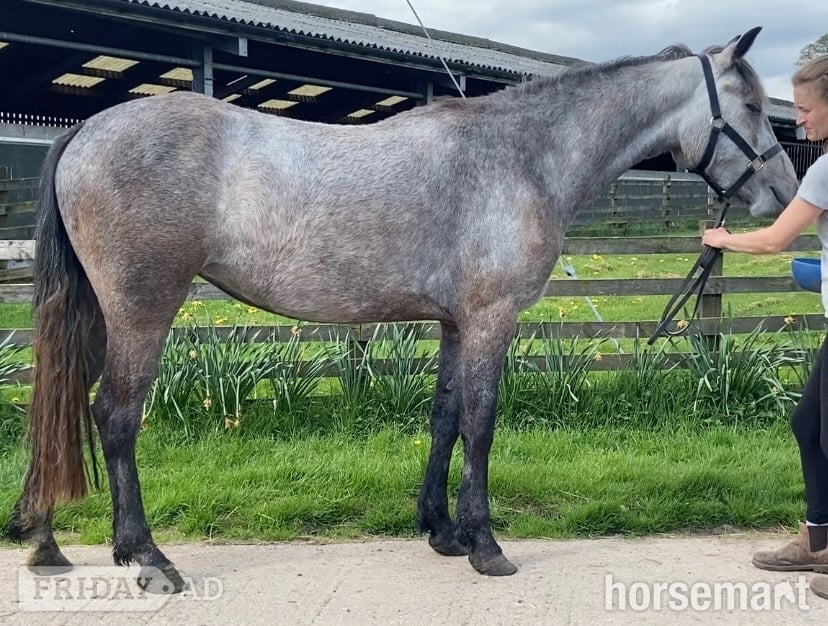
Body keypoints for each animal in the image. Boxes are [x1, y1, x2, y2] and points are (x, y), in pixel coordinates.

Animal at [7, 26, 799, 590]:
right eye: (753, 106)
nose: (785, 195)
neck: (520, 155)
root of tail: (90, 128)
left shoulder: (453, 324)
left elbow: (444, 418)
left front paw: (440, 531)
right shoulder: (491, 320)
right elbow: (481, 424)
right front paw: (486, 545)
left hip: (96, 313)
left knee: (59, 403)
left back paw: (44, 541)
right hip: (141, 310)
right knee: (115, 416)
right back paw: (146, 557)